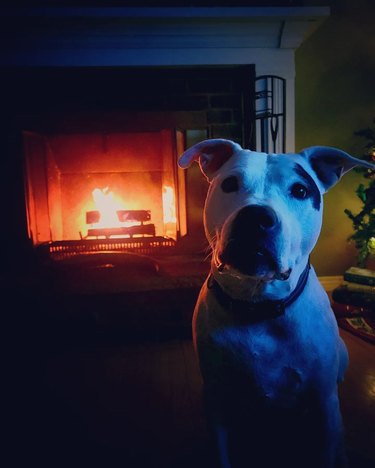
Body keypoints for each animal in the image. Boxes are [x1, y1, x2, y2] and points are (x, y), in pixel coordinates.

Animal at [178, 139, 374, 468]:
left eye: (300, 190)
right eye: (230, 184)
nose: (256, 218)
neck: (259, 306)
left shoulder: (323, 404)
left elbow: (328, 446)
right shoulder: (217, 404)